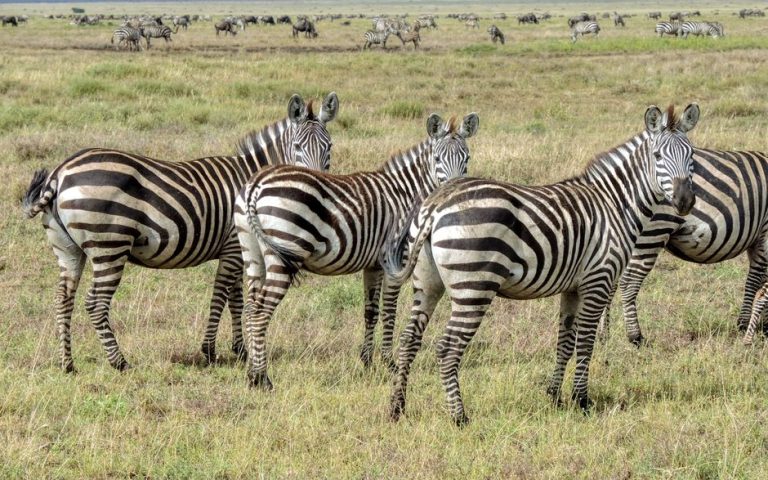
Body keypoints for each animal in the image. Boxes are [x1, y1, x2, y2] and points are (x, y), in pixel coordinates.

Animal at [20, 93, 340, 373]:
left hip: (67, 249)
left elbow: (236, 300)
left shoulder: (238, 251)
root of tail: (60, 172)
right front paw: (210, 351)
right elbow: (221, 296)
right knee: (96, 304)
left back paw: (68, 364)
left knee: (63, 300)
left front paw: (240, 349)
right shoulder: (233, 248)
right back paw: (120, 363)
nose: (317, 182)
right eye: (297, 146)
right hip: (109, 246)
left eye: (329, 147)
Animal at [234, 113, 479, 389]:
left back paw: (251, 375)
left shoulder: (373, 265)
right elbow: (390, 311)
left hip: (252, 252)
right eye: (437, 159)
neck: (406, 194)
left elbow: (370, 311)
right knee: (260, 313)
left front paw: (367, 362)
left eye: (467, 158)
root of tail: (256, 184)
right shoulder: (395, 261)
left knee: (250, 308)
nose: (454, 189)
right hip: (283, 253)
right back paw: (263, 379)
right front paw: (389, 363)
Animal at [384, 104, 700, 425]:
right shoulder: (598, 280)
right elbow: (586, 343)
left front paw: (554, 396)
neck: (616, 203)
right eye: (658, 156)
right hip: (473, 286)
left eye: (692, 155)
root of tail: (437, 203)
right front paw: (581, 401)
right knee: (447, 348)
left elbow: (565, 342)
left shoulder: (572, 287)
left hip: (428, 282)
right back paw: (459, 417)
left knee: (409, 340)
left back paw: (397, 408)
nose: (685, 202)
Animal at [598, 145, 768, 346]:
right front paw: (744, 325)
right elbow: (754, 281)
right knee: (629, 282)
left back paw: (603, 334)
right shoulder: (765, 234)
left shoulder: (756, 239)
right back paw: (635, 336)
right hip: (654, 231)